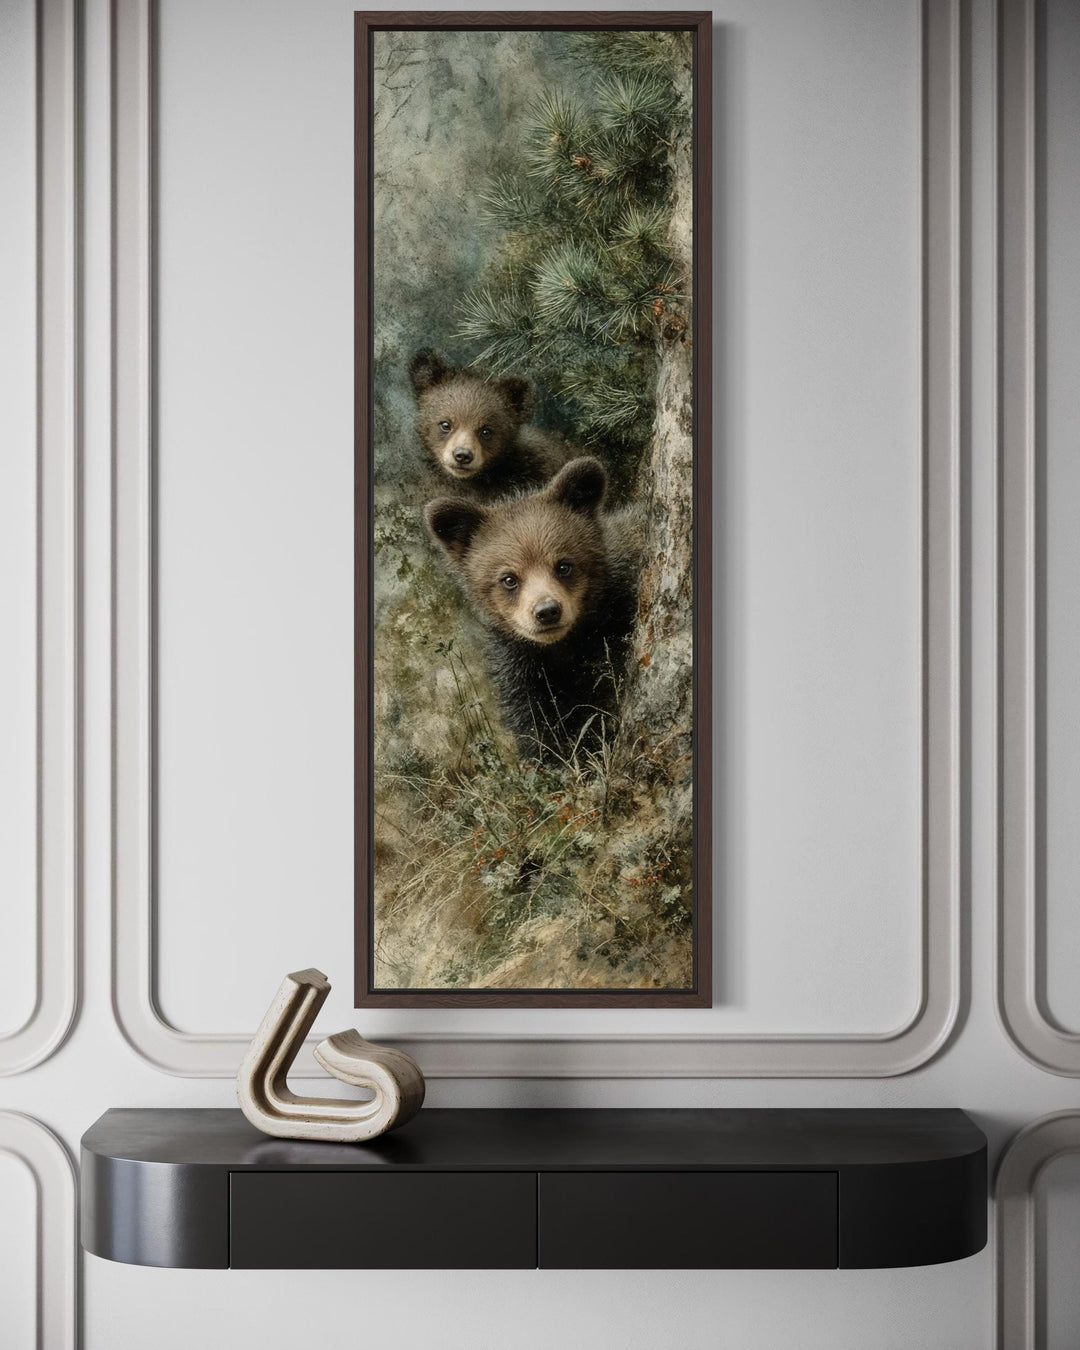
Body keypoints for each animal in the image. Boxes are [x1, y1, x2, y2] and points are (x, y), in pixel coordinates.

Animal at [424, 456, 641, 763]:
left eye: (564, 565)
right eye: (509, 579)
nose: (547, 611)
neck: (567, 647)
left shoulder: (616, 626)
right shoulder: (523, 665)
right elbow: (534, 724)